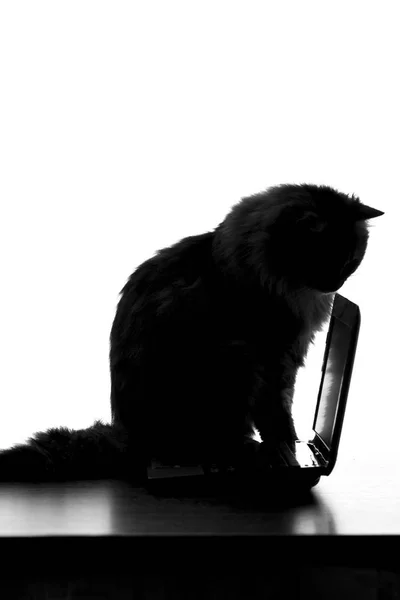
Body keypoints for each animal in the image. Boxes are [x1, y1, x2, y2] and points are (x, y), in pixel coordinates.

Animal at [0, 183, 382, 482]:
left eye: (351, 262)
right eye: (324, 260)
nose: (336, 285)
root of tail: (130, 440)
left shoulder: (288, 357)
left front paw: (289, 449)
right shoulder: (274, 358)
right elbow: (278, 416)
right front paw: (285, 450)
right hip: (230, 368)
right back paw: (247, 450)